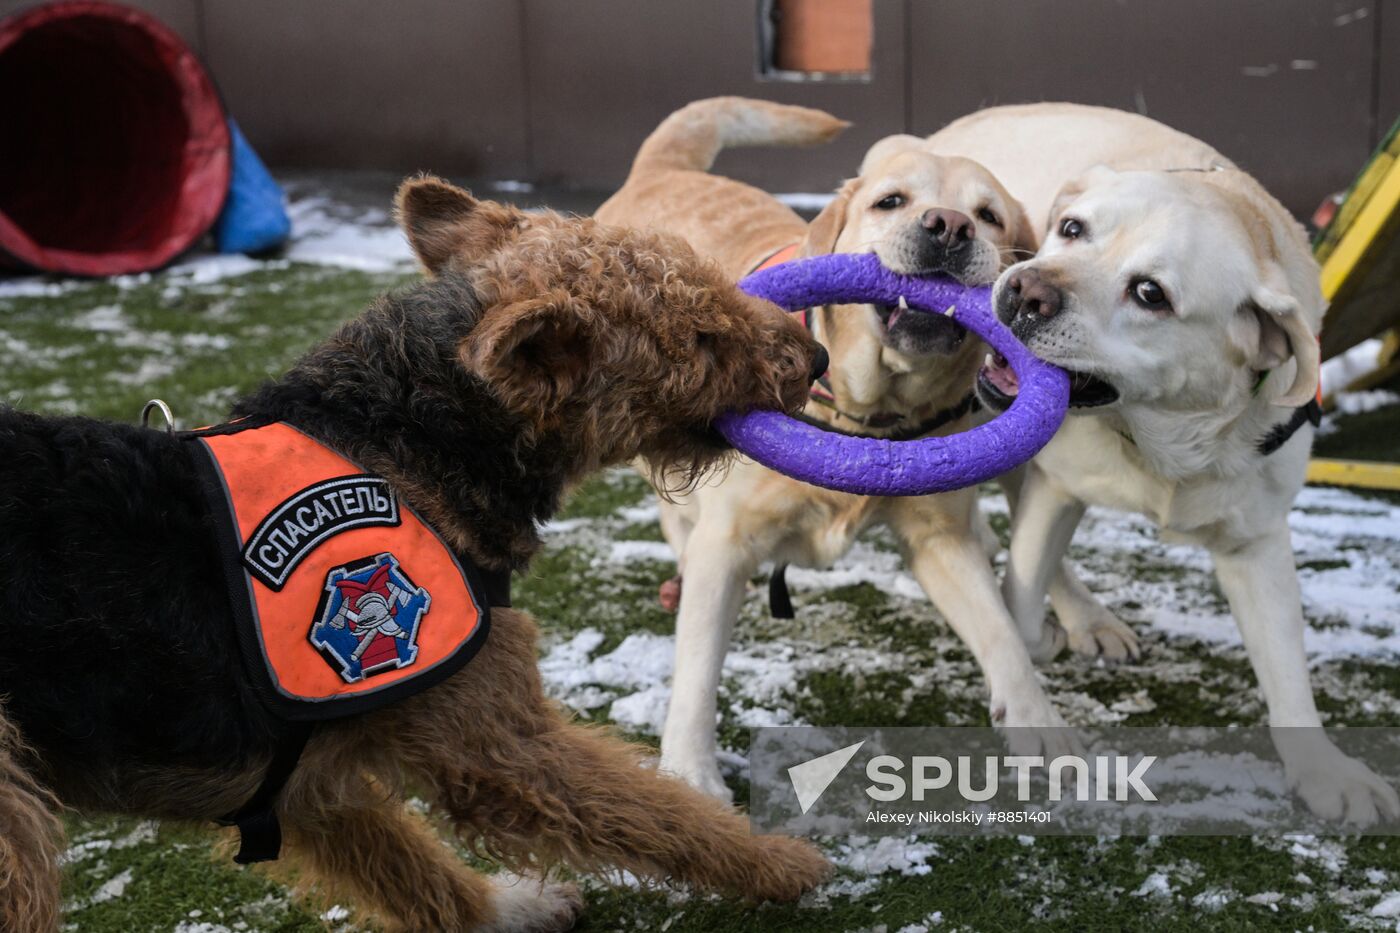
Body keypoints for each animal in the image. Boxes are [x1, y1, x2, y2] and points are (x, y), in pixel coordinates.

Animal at [0, 176, 828, 930]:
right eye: (699, 339)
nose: (816, 354)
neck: (411, 429)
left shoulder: (307, 786)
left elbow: (418, 875)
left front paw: (510, 908)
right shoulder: (497, 741)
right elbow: (661, 814)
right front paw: (781, 861)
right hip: (19, 822)